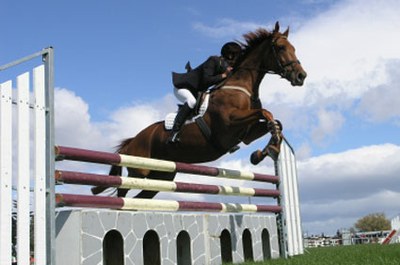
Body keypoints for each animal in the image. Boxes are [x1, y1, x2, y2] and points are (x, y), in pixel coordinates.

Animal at [93, 21, 306, 197]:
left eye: (294, 48)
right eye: (281, 48)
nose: (301, 76)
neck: (241, 87)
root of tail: (132, 141)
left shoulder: (246, 134)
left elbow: (276, 122)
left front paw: (264, 152)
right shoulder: (229, 124)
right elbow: (266, 113)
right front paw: (270, 148)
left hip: (162, 176)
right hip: (139, 170)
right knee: (123, 190)